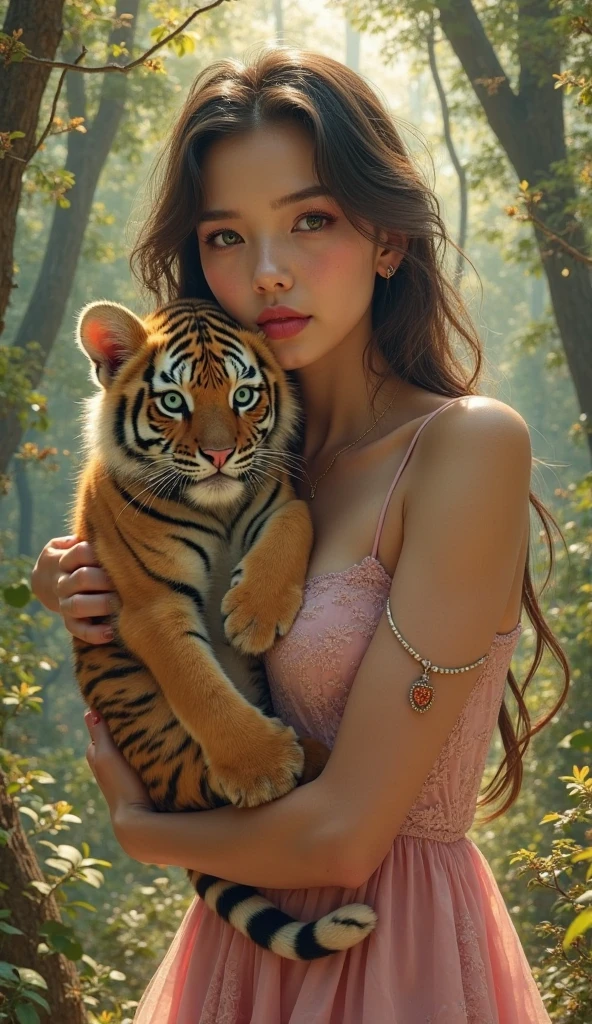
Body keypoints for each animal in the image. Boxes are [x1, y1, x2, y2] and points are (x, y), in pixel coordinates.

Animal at [71, 297, 377, 960]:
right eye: (173, 401)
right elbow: (199, 685)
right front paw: (262, 767)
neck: (217, 507)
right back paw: (304, 755)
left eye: (243, 396)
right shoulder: (151, 605)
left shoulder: (282, 500)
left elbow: (295, 525)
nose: (217, 456)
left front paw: (255, 617)